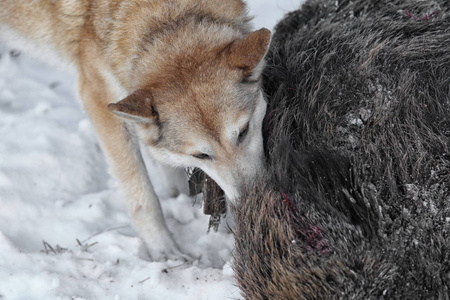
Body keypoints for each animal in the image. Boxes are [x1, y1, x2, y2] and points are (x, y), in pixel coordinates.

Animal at [0, 0, 270, 260]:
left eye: (243, 131)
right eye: (201, 155)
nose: (251, 200)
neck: (167, 17)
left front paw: (178, 197)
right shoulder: (100, 101)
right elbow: (144, 196)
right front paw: (165, 252)